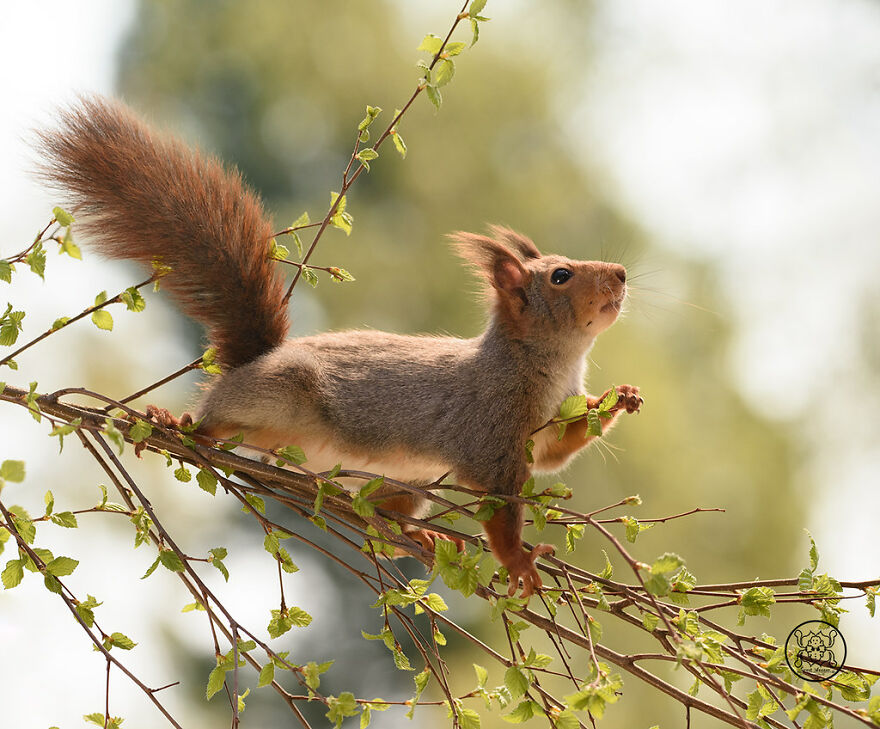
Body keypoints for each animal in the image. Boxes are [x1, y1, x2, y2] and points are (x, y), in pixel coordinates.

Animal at [37, 96, 641, 598]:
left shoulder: (541, 435)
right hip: (277, 398)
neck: (553, 363)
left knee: (385, 511)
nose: (620, 273)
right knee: (215, 421)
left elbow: (558, 454)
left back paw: (413, 534)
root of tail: (256, 361)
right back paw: (179, 426)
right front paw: (518, 562)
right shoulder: (491, 433)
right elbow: (501, 506)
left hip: (402, 479)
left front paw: (618, 399)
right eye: (561, 277)